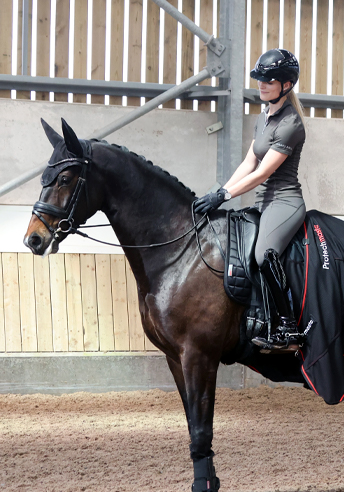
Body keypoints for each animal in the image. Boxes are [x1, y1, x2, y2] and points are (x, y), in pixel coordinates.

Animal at [23, 119, 314, 492]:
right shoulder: (176, 357)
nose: (34, 239)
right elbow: (193, 424)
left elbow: (201, 430)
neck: (182, 248)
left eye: (64, 178)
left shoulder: (199, 355)